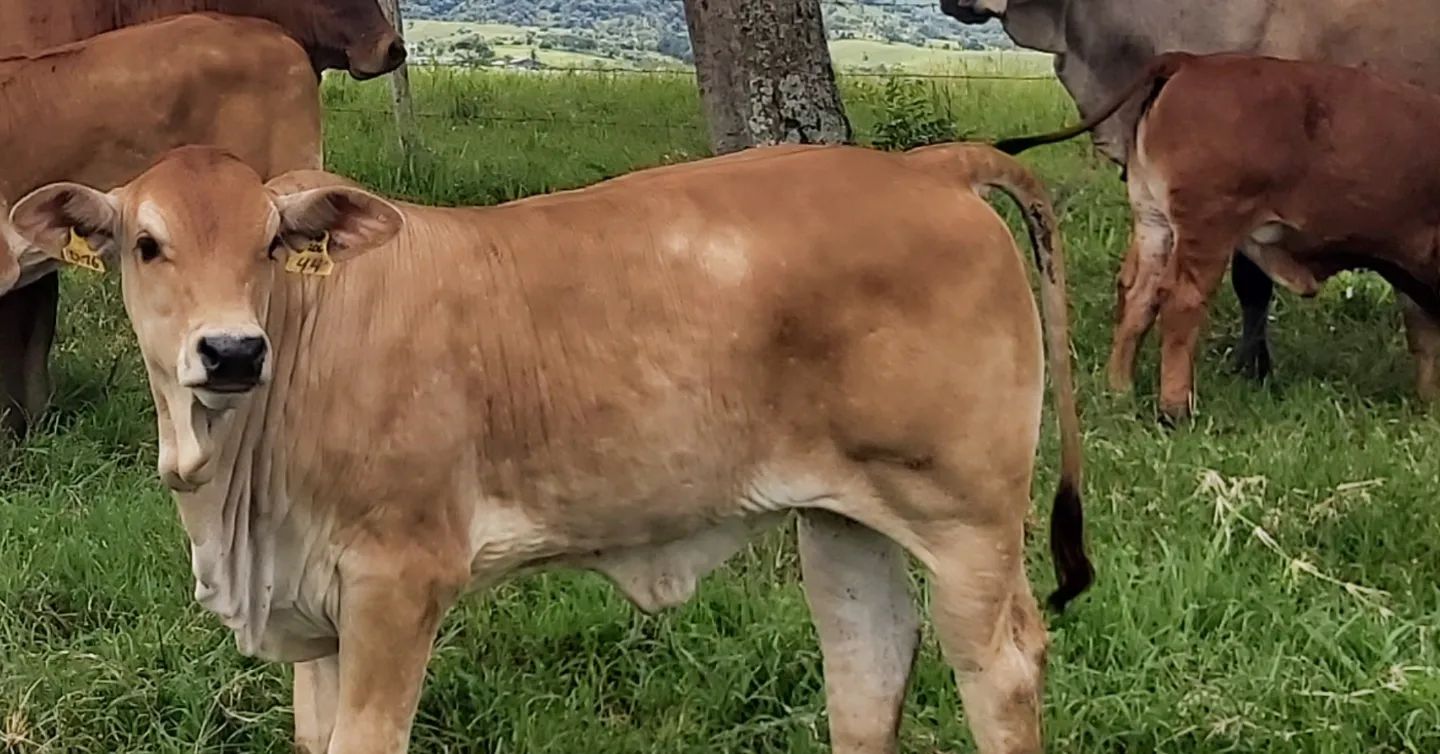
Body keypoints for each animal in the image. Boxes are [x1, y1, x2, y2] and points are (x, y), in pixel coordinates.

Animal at [8, 143, 1088, 754]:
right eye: (147, 244)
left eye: (272, 243)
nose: (232, 351)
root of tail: (926, 165)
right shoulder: (314, 615)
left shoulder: (400, 583)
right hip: (844, 520)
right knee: (869, 665)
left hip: (968, 518)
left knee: (1000, 666)